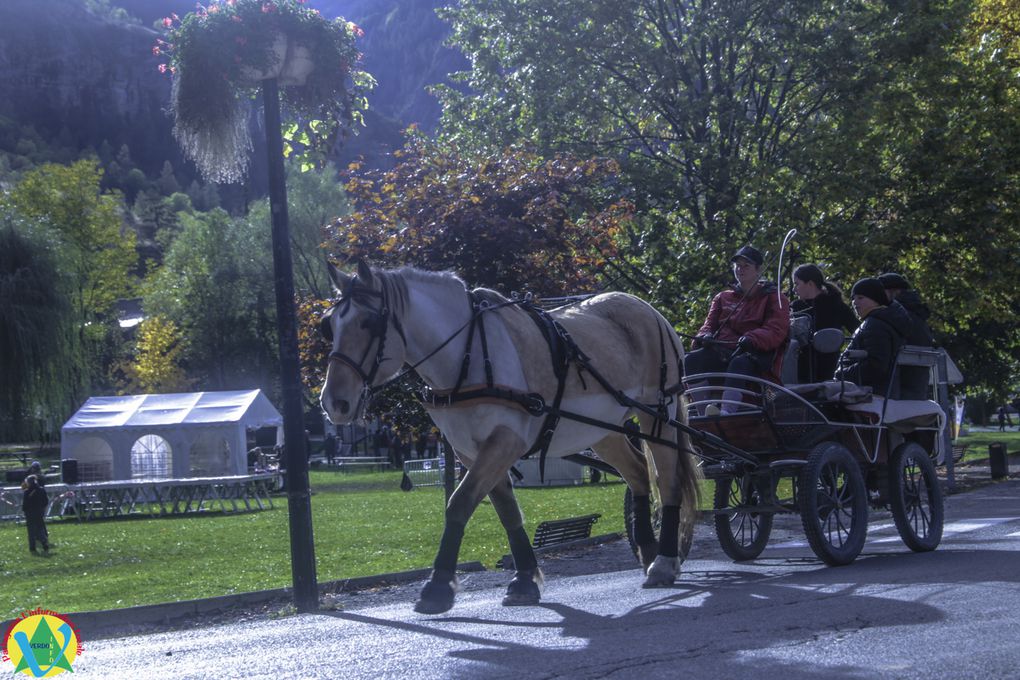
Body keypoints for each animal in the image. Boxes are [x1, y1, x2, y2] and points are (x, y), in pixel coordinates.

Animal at [318, 258, 701, 611]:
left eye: (368, 323)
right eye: (329, 326)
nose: (333, 402)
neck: (467, 356)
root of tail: (649, 310)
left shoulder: (504, 440)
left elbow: (459, 503)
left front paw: (438, 585)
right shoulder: (472, 450)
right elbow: (507, 511)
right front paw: (525, 579)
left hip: (658, 414)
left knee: (668, 480)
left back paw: (665, 561)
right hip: (601, 430)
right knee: (638, 473)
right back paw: (648, 551)